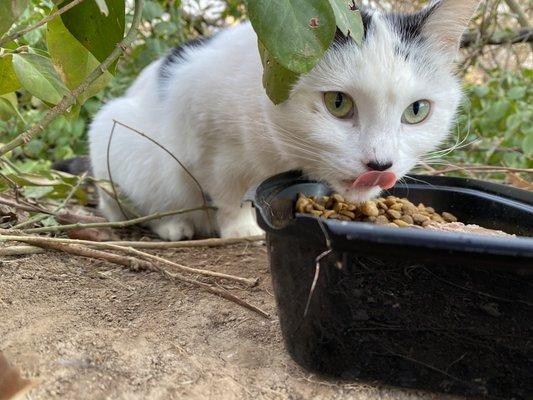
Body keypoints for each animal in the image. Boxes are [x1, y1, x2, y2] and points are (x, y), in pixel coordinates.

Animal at [86, 0, 478, 241]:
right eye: (338, 103)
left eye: (417, 111)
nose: (380, 165)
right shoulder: (205, 133)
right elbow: (226, 191)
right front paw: (242, 229)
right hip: (113, 135)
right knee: (121, 205)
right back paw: (173, 224)